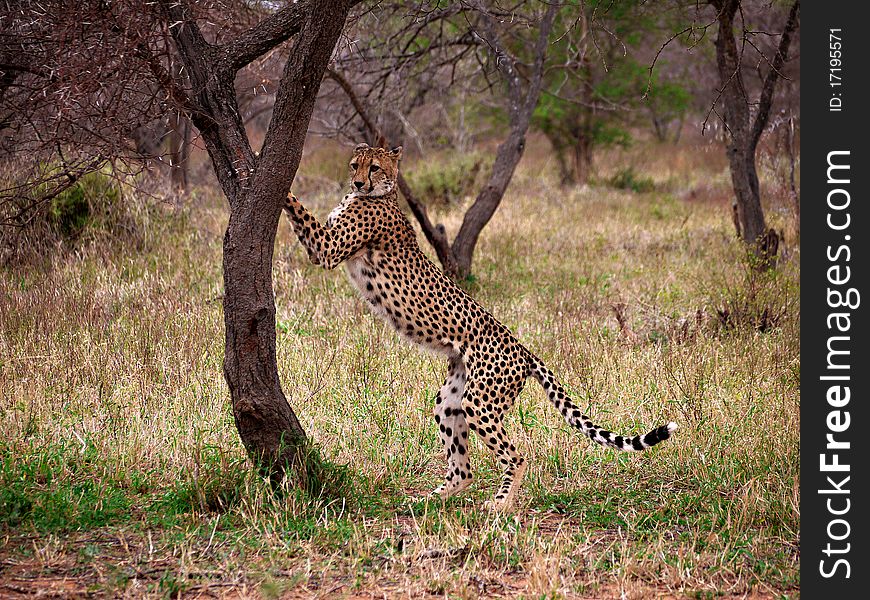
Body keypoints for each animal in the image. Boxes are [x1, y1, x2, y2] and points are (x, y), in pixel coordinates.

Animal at [282, 144, 676, 510]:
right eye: (355, 165)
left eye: (374, 167)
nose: (358, 183)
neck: (382, 194)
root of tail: (523, 348)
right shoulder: (325, 247)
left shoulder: (327, 248)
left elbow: (299, 208)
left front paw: (273, 175)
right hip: (451, 401)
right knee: (464, 467)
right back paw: (431, 500)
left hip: (481, 402)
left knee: (517, 455)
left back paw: (499, 503)